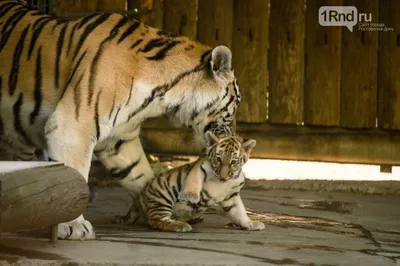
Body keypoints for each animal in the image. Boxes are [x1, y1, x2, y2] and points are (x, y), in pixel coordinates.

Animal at [0, 0, 241, 241]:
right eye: (237, 102)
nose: (233, 135)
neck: (161, 93)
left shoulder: (119, 139)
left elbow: (142, 176)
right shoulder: (72, 126)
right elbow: (75, 174)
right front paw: (73, 225)